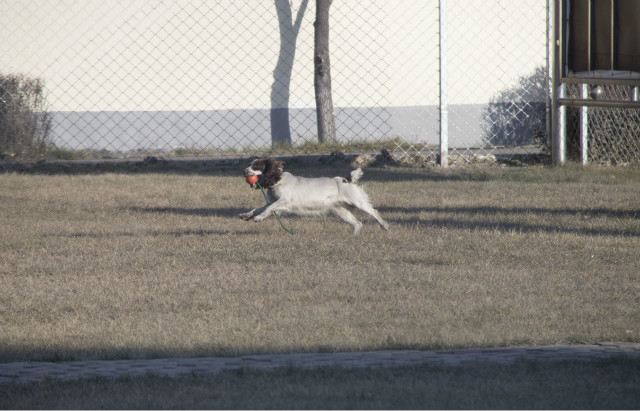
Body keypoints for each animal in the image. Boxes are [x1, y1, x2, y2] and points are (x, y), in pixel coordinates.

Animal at [241, 158, 388, 235]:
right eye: (249, 164)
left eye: (256, 166)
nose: (243, 171)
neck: (277, 180)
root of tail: (347, 180)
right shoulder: (273, 202)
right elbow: (260, 208)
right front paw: (246, 215)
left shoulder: (284, 201)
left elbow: (268, 209)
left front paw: (258, 218)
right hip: (341, 210)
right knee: (357, 223)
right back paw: (353, 236)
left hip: (358, 201)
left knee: (374, 212)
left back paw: (384, 226)